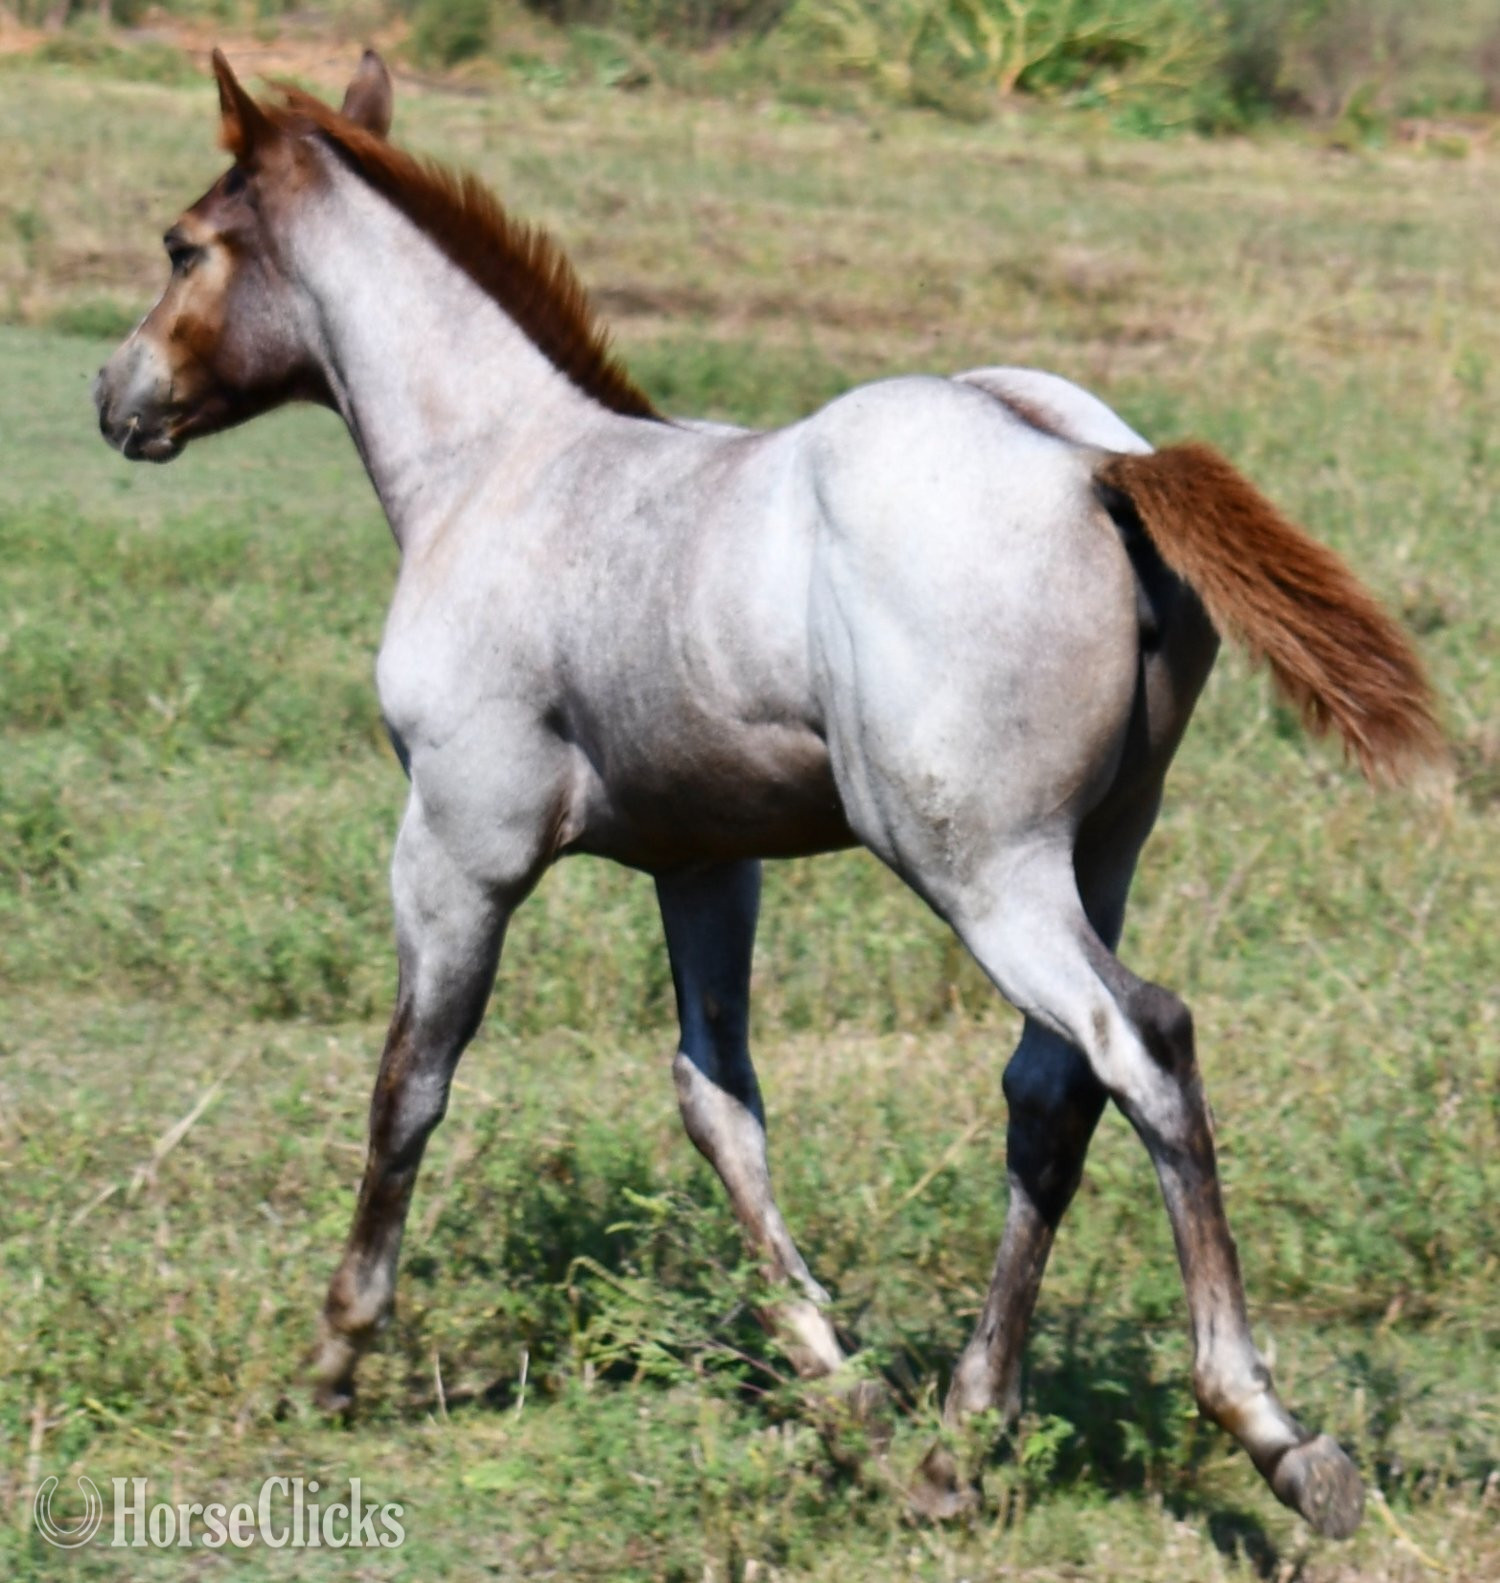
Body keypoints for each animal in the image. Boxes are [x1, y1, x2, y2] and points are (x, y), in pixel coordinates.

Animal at [93, 50, 1442, 1539]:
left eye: (182, 244)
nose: (116, 396)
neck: (497, 470)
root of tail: (1086, 468)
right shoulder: (703, 862)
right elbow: (716, 1098)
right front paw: (841, 1385)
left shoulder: (457, 839)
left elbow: (411, 1080)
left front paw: (336, 1352)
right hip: (1102, 847)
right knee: (1053, 1083)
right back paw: (957, 1441)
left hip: (977, 864)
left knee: (1139, 1040)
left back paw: (1273, 1432)